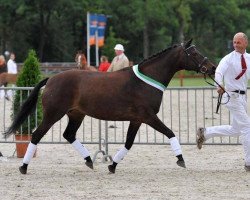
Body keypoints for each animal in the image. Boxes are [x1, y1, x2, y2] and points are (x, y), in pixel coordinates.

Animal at [2, 39, 216, 173]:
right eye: (194, 53)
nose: (212, 67)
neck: (146, 81)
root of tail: (52, 79)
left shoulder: (137, 119)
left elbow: (129, 143)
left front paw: (112, 165)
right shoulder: (148, 117)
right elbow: (170, 133)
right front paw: (181, 159)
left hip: (76, 114)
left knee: (69, 135)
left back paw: (89, 160)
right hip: (53, 114)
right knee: (36, 136)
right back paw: (23, 167)